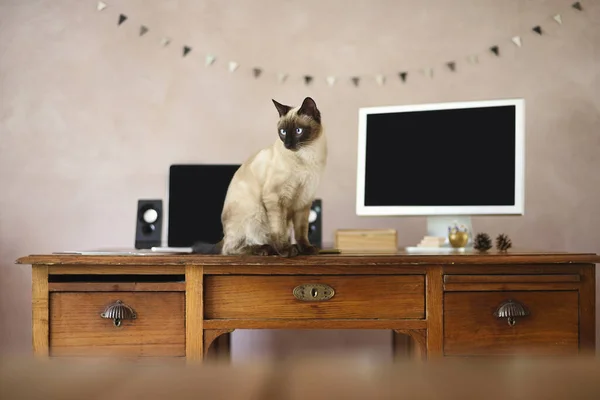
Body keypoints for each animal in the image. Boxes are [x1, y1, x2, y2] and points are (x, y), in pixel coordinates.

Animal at [193, 98, 328, 258]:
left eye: (298, 131)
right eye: (283, 132)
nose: (287, 144)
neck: (307, 156)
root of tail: (225, 235)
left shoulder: (304, 201)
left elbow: (302, 231)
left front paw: (306, 249)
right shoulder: (275, 197)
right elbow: (279, 230)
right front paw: (285, 251)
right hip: (255, 213)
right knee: (230, 249)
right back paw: (266, 249)